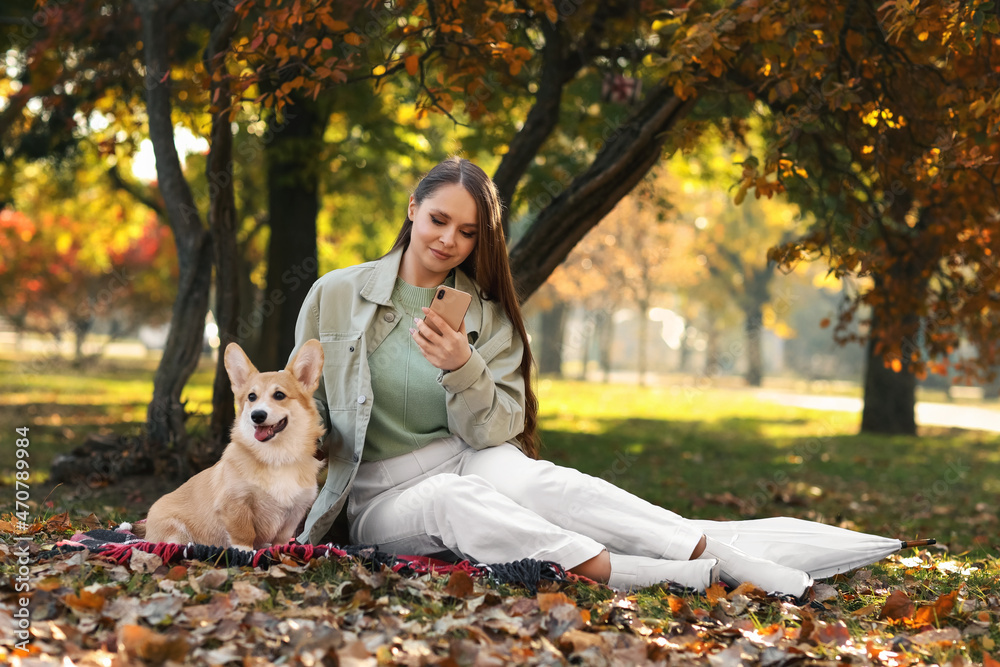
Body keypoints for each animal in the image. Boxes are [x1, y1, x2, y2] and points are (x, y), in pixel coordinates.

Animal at [145, 342, 322, 552]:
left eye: (279, 395)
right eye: (251, 397)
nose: (257, 415)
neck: (276, 456)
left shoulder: (295, 512)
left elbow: (281, 539)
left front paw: (278, 552)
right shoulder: (235, 503)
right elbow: (244, 535)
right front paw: (244, 554)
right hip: (175, 530)